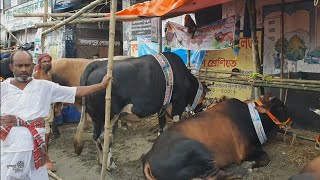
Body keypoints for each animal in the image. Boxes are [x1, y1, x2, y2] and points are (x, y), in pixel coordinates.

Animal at [75, 51, 210, 169]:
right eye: (203, 97)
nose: (202, 109)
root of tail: (96, 64)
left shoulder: (162, 105)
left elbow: (162, 126)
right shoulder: (178, 102)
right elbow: (176, 122)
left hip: (96, 117)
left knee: (95, 136)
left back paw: (100, 161)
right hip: (110, 116)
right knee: (105, 138)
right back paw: (110, 165)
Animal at [144, 95, 292, 179]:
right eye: (282, 108)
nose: (291, 122)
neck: (251, 118)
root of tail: (148, 158)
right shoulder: (247, 149)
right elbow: (266, 158)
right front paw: (249, 164)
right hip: (199, 151)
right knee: (215, 176)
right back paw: (243, 171)